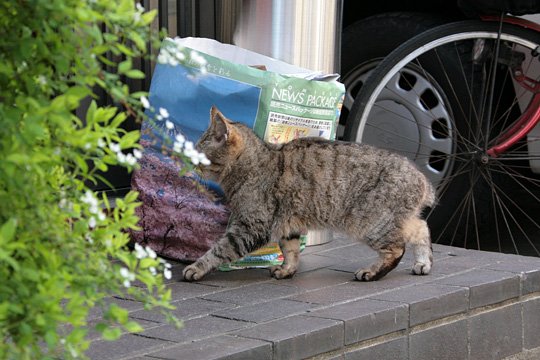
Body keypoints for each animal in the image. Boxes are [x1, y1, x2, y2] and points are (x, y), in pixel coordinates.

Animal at [181, 106, 434, 282]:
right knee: (422, 228)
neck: (254, 165)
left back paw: (371, 272)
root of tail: (422, 179)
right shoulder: (287, 226)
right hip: (395, 221)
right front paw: (287, 270)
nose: (187, 161)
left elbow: (220, 249)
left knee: (397, 248)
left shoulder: (251, 227)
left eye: (199, 151)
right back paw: (424, 263)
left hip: (371, 224)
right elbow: (290, 250)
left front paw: (197, 267)